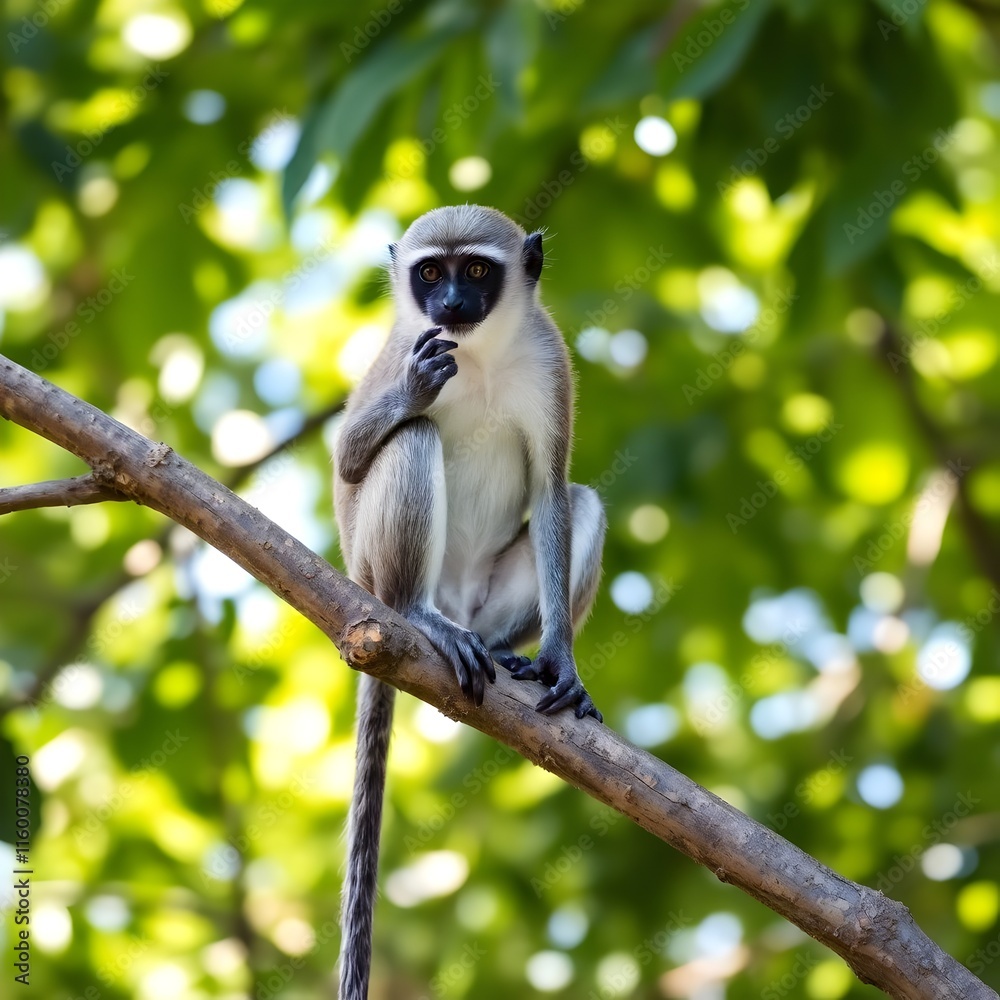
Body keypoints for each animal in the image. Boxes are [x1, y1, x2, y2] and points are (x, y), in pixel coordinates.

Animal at [333, 204, 606, 999]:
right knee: (412, 440)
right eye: (431, 273)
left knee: (583, 500)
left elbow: (553, 489)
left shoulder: (549, 361)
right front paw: (410, 397)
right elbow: (350, 461)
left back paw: (515, 654)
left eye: (477, 270)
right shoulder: (405, 347)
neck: (478, 356)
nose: (451, 304)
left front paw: (560, 660)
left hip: (487, 604)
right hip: (375, 568)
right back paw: (418, 616)